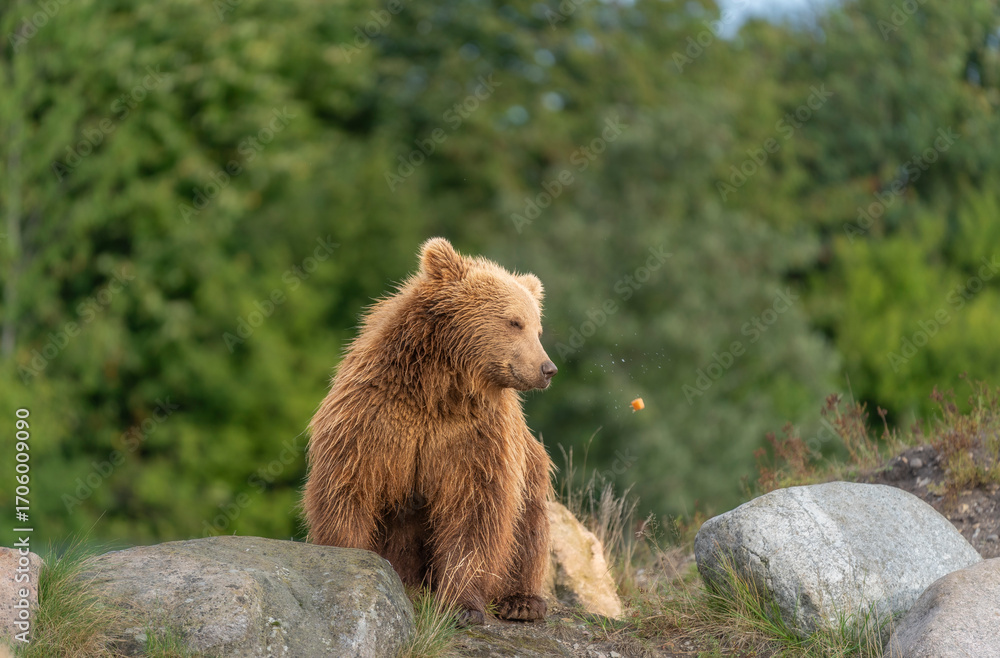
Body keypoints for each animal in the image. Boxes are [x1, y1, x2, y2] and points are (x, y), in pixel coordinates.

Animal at [303, 237, 558, 625]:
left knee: (529, 523)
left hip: (530, 467)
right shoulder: (376, 416)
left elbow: (475, 510)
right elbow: (350, 486)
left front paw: (463, 605)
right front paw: (349, 560)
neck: (438, 388)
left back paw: (523, 601)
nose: (547, 368)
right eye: (515, 321)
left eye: (537, 327)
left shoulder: (475, 436)